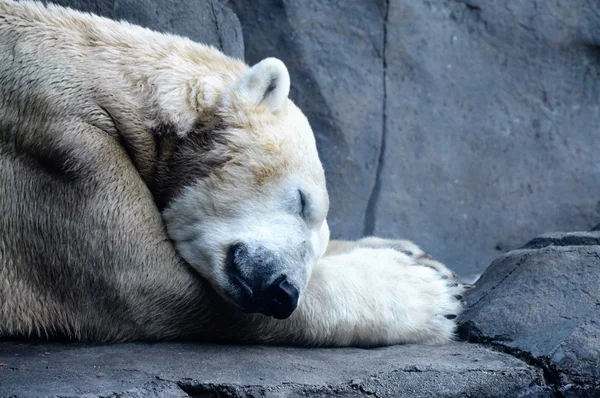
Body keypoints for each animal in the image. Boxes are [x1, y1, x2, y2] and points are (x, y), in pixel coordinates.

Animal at [0, 0, 468, 346]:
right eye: (302, 200)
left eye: (318, 240)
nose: (283, 292)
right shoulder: (58, 139)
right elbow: (142, 279)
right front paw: (431, 294)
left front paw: (416, 255)